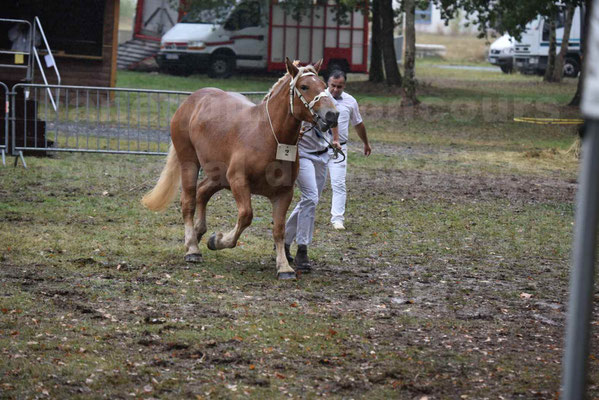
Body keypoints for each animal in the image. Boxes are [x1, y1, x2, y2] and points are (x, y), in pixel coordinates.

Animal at [141, 57, 338, 280]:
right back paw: (192, 248)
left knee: (203, 192)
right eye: (304, 86)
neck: (269, 136)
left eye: (323, 85)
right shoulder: (238, 181)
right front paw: (218, 240)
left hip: (218, 176)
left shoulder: (284, 192)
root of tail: (191, 101)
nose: (332, 115)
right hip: (189, 162)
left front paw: (284, 267)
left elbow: (279, 229)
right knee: (189, 201)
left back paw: (198, 233)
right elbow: (246, 216)